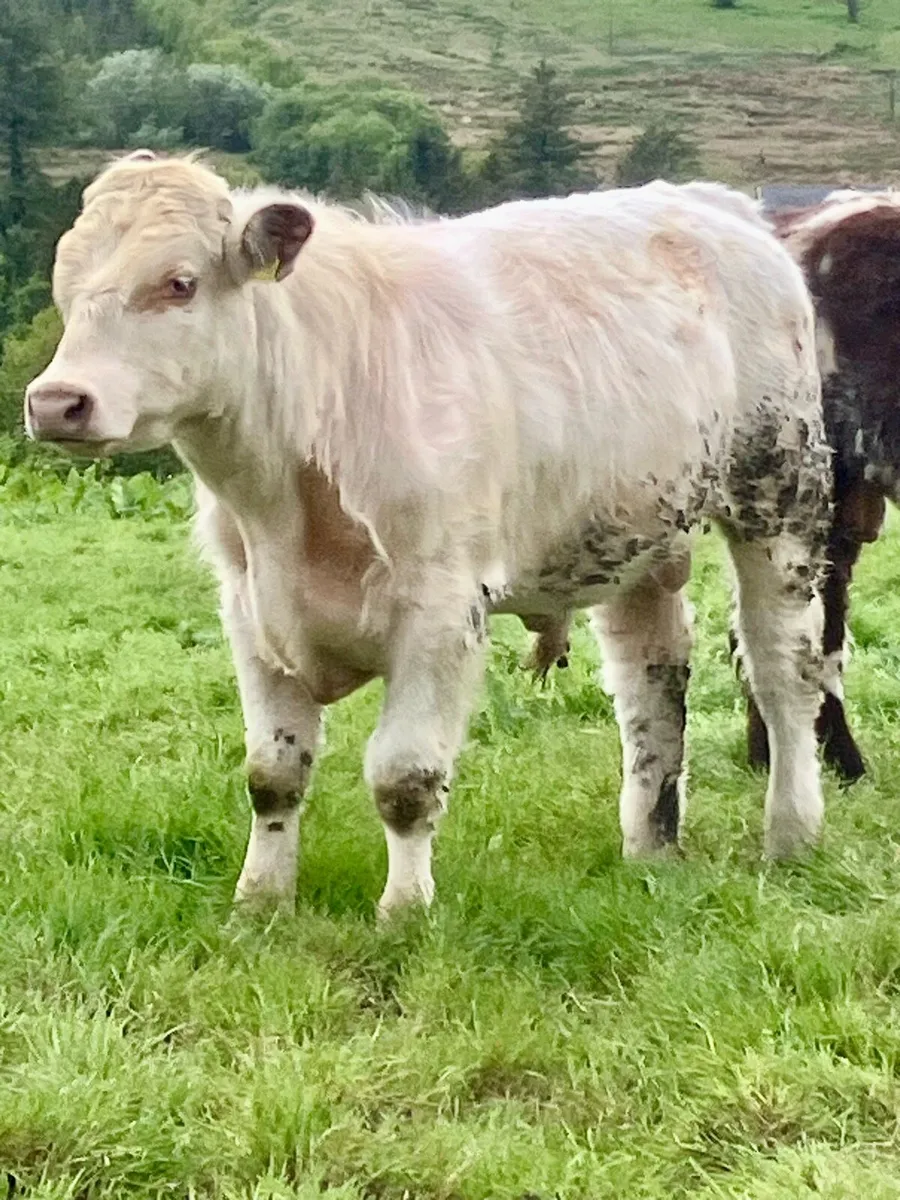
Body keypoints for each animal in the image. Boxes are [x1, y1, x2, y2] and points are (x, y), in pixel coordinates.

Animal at [24, 153, 830, 915]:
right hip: (638, 533)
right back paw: (651, 847)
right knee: (651, 677)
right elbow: (272, 775)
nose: (57, 401)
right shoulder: (250, 609)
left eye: (179, 283)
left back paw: (792, 834)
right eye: (66, 283)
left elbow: (405, 779)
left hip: (780, 498)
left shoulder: (440, 609)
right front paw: (259, 902)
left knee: (781, 671)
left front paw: (405, 911)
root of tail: (711, 203)